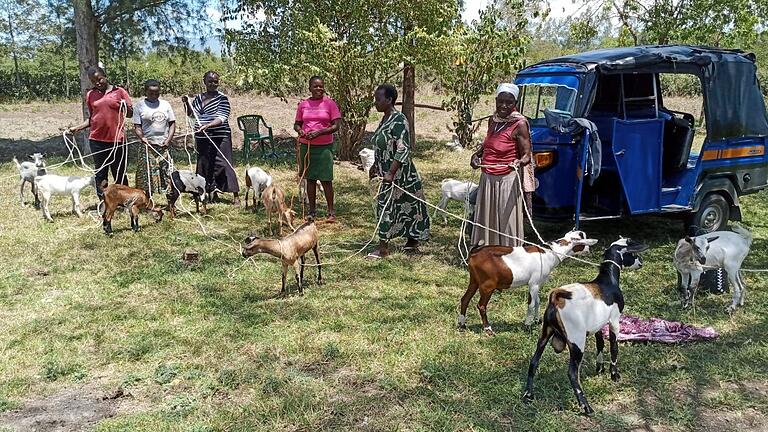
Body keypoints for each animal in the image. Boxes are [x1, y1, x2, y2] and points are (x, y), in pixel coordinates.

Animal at [460, 230, 596, 334]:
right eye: (583, 240)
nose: (589, 250)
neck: (550, 252)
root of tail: (475, 252)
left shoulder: (538, 284)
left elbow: (538, 301)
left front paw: (537, 320)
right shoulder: (533, 284)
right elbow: (531, 304)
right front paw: (527, 325)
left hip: (474, 280)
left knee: (465, 299)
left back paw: (462, 325)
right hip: (487, 285)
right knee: (481, 305)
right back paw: (488, 329)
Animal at [520, 238, 648, 416]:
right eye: (633, 253)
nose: (640, 262)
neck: (608, 281)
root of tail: (556, 298)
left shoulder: (598, 324)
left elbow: (600, 344)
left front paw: (599, 368)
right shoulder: (614, 321)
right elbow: (614, 348)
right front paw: (614, 375)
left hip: (545, 333)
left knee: (533, 362)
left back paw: (528, 394)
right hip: (577, 341)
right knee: (572, 373)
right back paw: (586, 406)